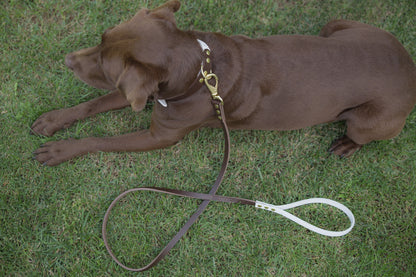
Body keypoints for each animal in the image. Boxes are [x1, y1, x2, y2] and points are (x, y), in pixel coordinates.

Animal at [31, 1, 416, 165]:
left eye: (103, 65)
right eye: (102, 38)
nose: (68, 60)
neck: (198, 73)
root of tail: (409, 66)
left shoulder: (159, 136)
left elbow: (101, 140)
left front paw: (61, 151)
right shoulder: (141, 92)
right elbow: (92, 104)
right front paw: (53, 121)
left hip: (369, 120)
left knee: (361, 134)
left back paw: (346, 145)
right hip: (336, 24)